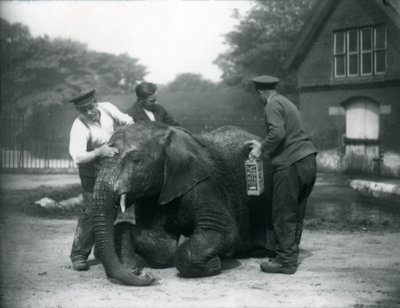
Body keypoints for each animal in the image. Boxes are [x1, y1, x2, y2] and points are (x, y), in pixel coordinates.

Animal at [90, 121, 272, 286]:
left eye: (135, 159)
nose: (146, 275)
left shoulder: (205, 185)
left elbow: (224, 229)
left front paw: (214, 264)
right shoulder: (154, 194)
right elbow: (159, 247)